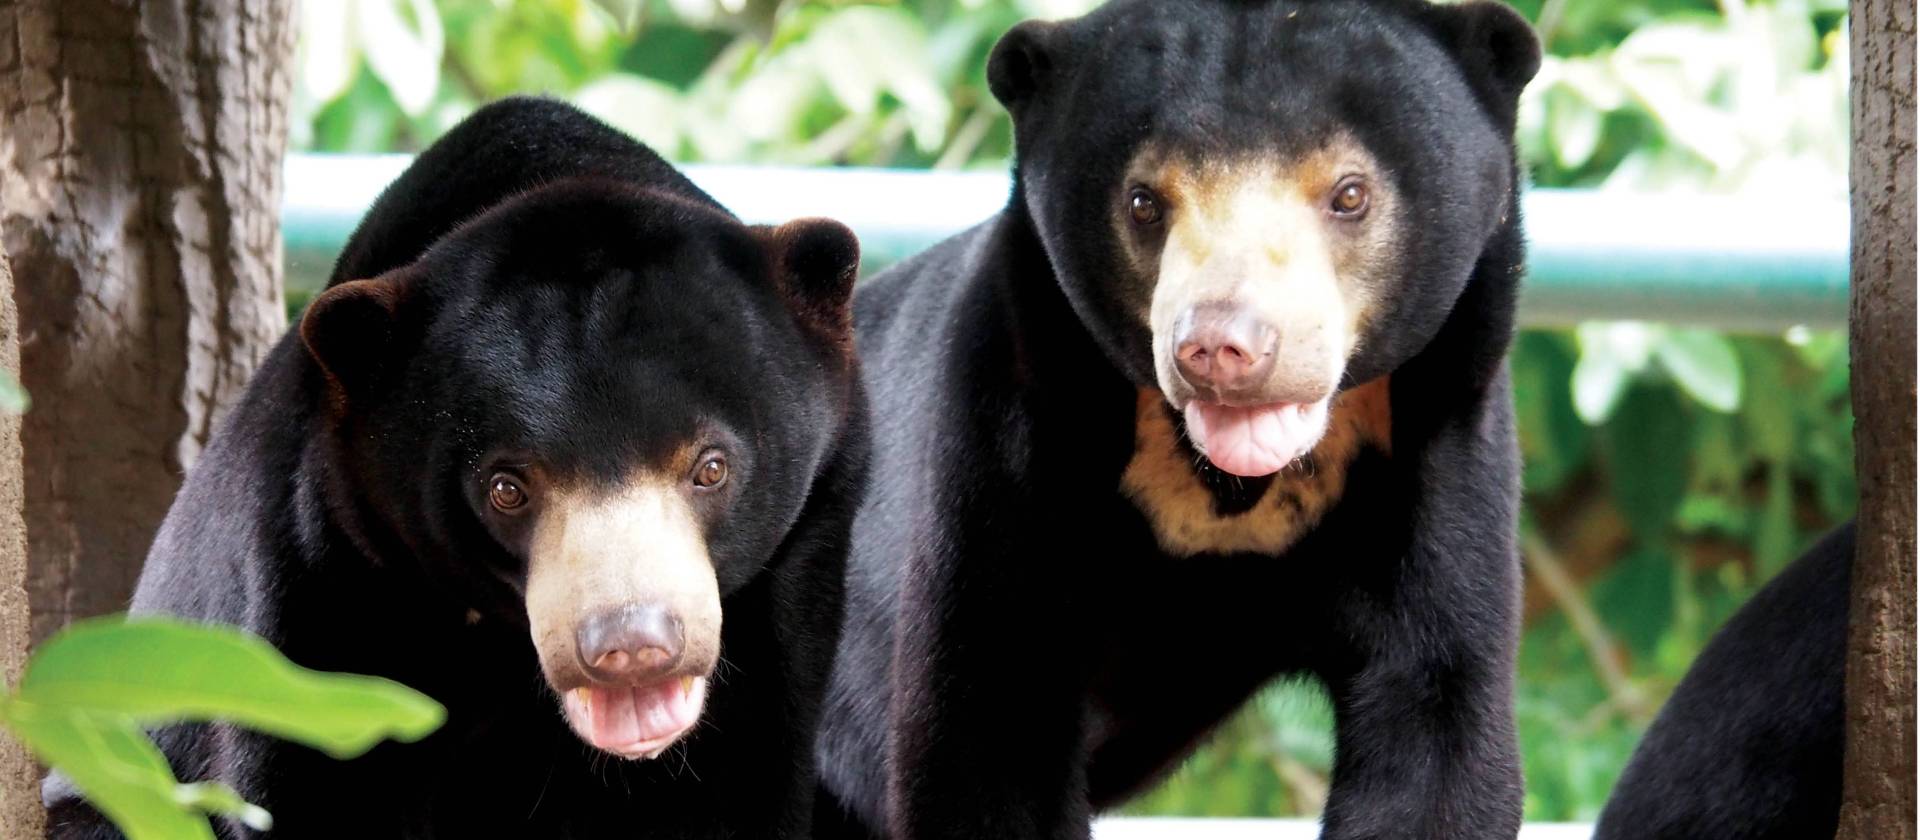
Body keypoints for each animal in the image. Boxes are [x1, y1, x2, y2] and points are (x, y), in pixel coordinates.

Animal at [810, 1, 1541, 838]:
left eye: (1350, 193)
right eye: (1143, 202)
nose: (1221, 347)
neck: (1227, 481)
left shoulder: (1439, 449)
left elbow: (1436, 726)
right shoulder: (1006, 429)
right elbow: (987, 729)